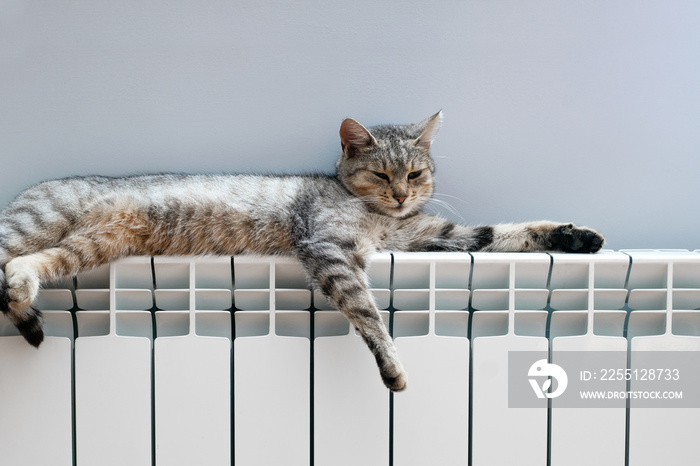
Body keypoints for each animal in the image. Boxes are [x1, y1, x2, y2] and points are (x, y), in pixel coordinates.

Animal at [0, 112, 600, 390]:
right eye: (381, 174)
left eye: (415, 173)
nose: (401, 195)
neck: (380, 218)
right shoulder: (330, 248)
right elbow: (368, 314)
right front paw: (392, 366)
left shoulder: (429, 236)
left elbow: (505, 232)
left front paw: (577, 237)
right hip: (37, 225)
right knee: (8, 259)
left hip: (88, 247)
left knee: (24, 268)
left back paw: (21, 294)